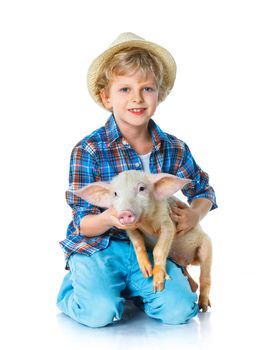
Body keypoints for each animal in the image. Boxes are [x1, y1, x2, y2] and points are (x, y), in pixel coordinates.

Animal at [72, 170, 213, 312]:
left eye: (141, 188)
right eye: (115, 193)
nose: (125, 212)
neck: (146, 223)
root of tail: (185, 261)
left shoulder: (168, 223)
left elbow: (158, 249)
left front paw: (158, 286)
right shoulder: (130, 229)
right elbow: (138, 243)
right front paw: (146, 273)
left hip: (207, 246)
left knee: (205, 278)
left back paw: (203, 308)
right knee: (192, 280)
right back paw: (192, 288)